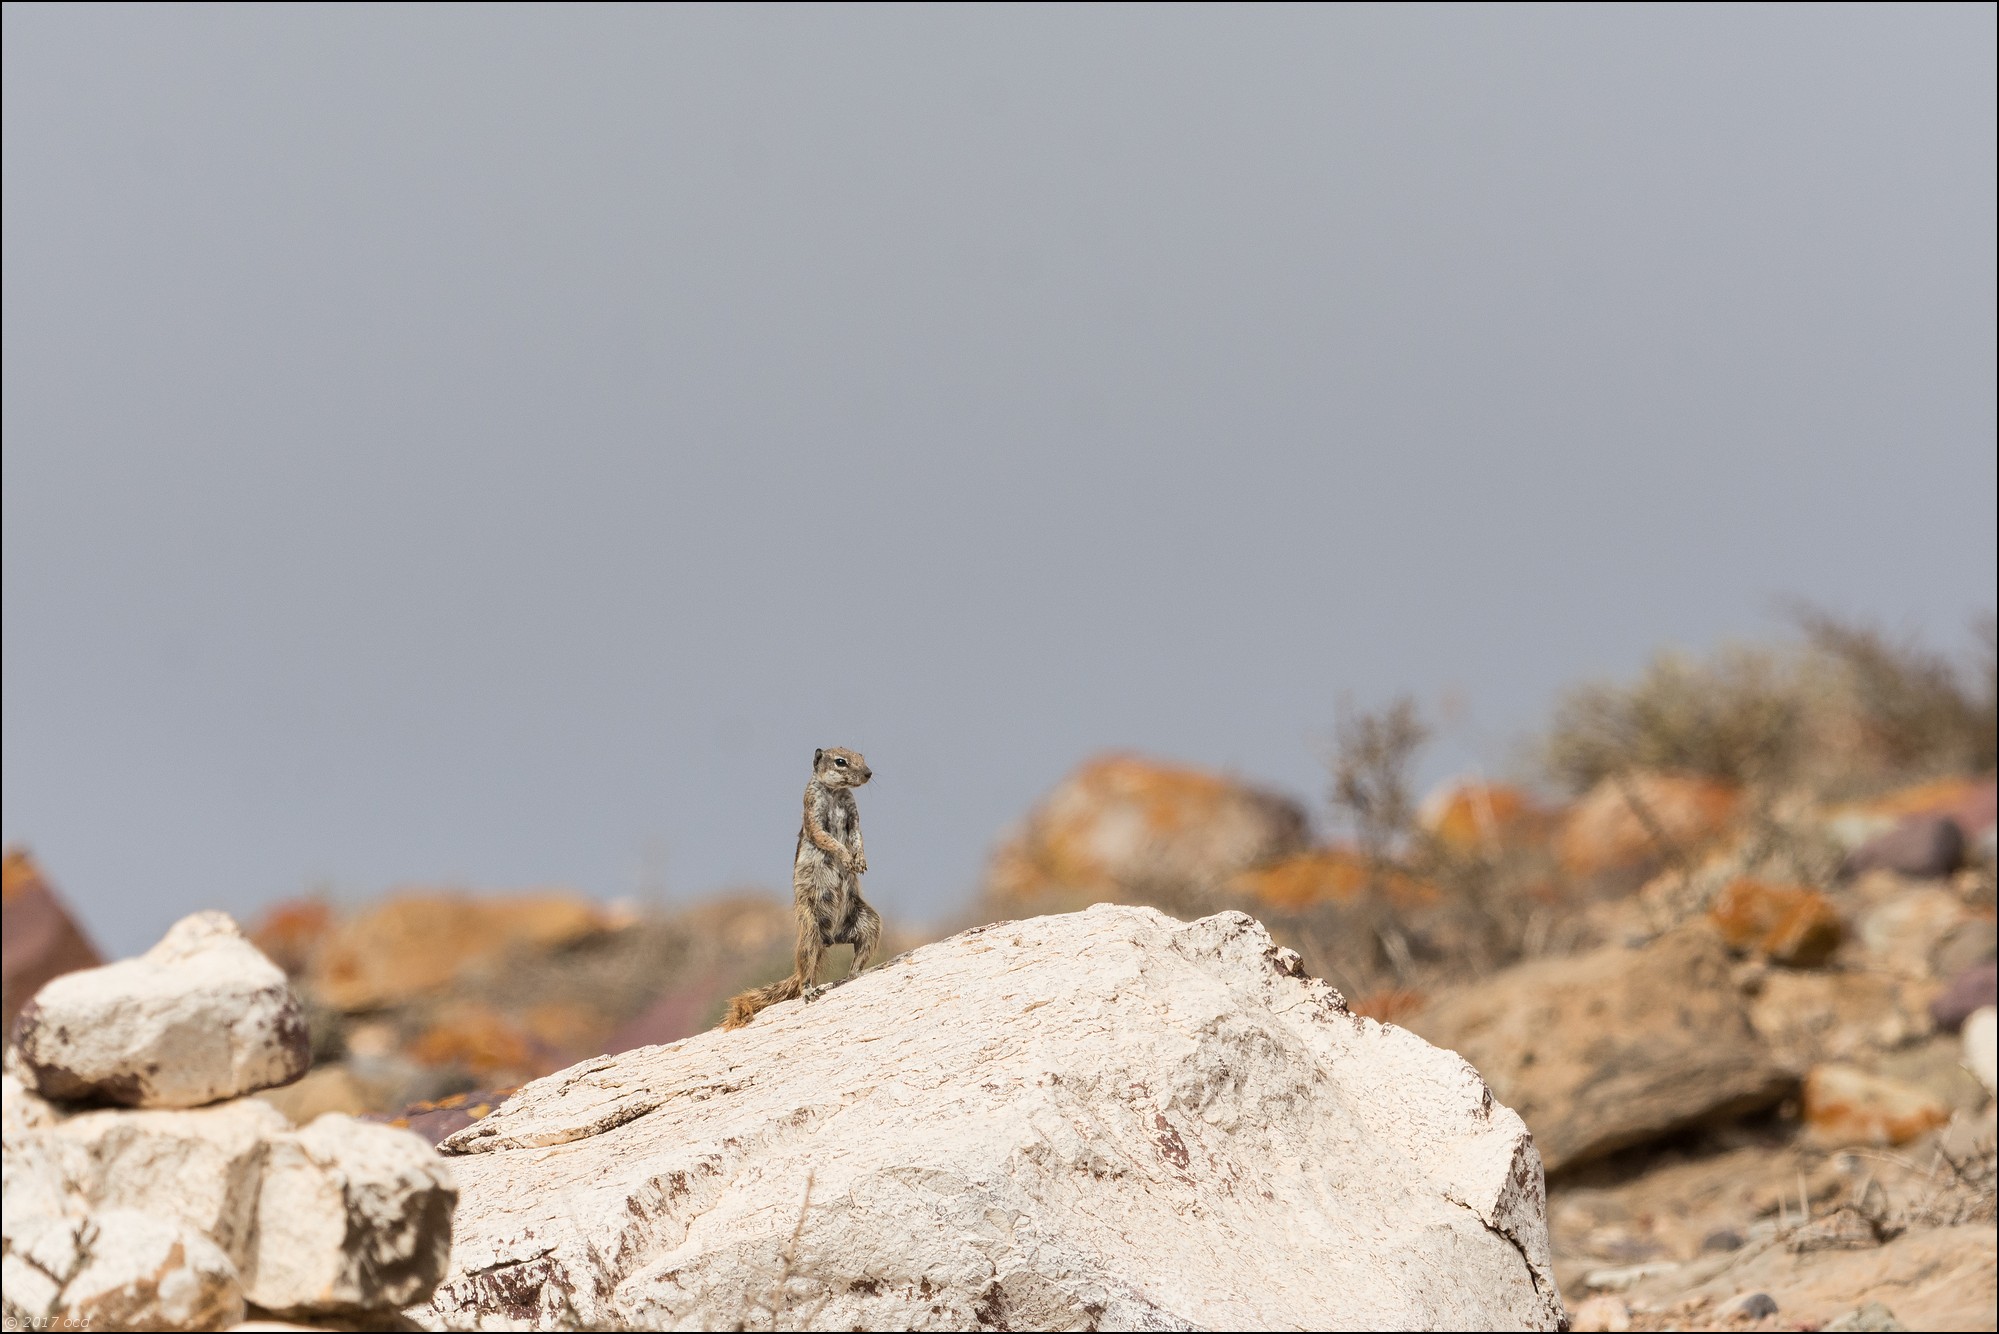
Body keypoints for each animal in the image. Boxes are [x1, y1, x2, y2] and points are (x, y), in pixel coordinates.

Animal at [719, 748, 875, 1032]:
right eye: (841, 761)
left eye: (862, 756)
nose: (869, 773)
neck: (836, 793)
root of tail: (831, 939)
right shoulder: (813, 812)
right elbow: (827, 838)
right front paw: (846, 857)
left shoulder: (853, 814)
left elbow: (858, 835)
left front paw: (860, 860)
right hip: (809, 929)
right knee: (806, 969)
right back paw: (808, 990)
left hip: (869, 922)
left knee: (859, 954)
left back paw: (855, 973)